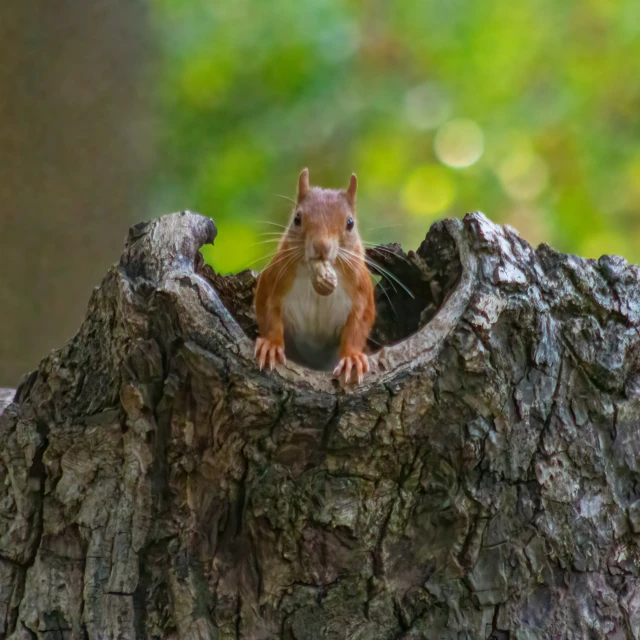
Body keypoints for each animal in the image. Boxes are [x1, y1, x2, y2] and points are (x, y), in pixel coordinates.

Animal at [254, 168, 376, 382]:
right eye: (297, 219)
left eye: (350, 223)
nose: (321, 246)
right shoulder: (274, 279)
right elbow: (268, 313)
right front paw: (271, 345)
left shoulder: (361, 291)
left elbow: (358, 324)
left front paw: (352, 358)